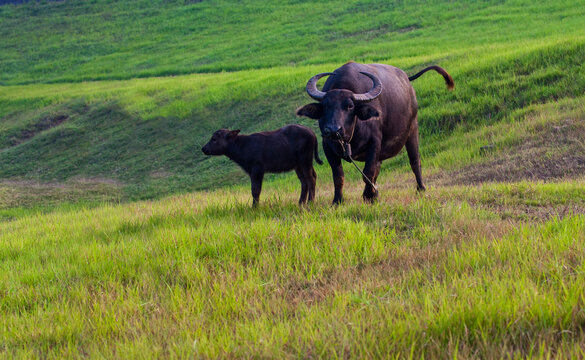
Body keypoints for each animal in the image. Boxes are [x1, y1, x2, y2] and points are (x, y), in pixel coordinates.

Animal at [296, 62, 452, 205]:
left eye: (350, 106)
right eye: (325, 106)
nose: (333, 130)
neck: (350, 137)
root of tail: (407, 82)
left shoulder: (374, 142)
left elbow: (368, 172)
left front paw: (369, 196)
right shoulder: (328, 146)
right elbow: (339, 176)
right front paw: (338, 201)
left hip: (413, 130)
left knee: (415, 161)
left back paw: (421, 189)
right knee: (378, 168)